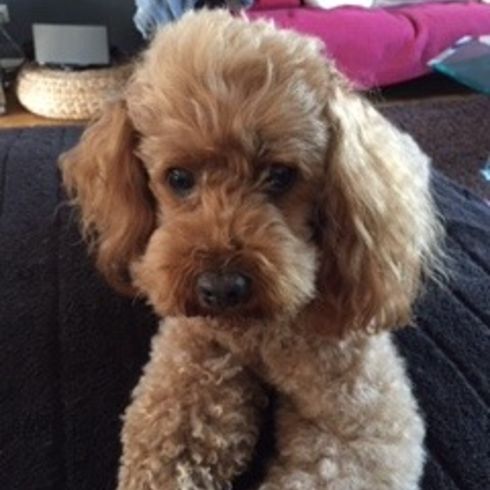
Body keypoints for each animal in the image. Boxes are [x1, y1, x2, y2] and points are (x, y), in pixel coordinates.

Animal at [60, 9, 443, 490]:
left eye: (280, 175)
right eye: (179, 178)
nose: (221, 288)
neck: (256, 334)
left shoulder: (358, 418)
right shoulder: (193, 359)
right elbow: (168, 442)